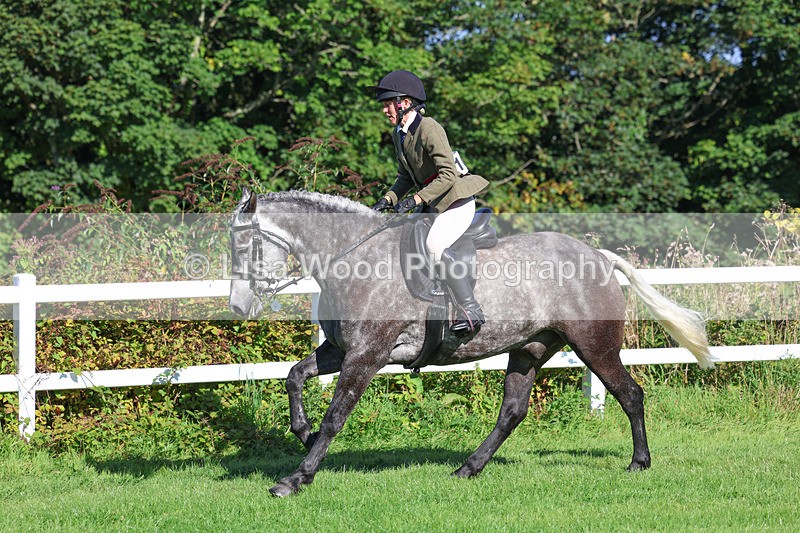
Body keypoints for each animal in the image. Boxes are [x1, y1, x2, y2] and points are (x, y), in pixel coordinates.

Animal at [228, 188, 715, 497]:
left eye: (245, 246)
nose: (237, 307)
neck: (354, 260)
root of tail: (598, 256)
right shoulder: (341, 351)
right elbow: (294, 377)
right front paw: (304, 434)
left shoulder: (367, 355)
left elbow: (336, 416)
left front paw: (297, 478)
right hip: (529, 349)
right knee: (512, 412)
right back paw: (468, 468)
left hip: (594, 347)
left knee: (630, 394)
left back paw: (639, 462)